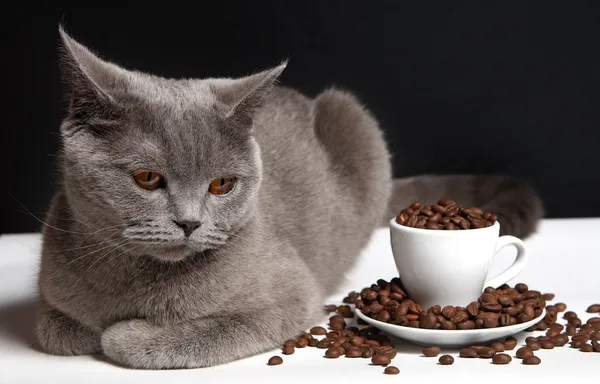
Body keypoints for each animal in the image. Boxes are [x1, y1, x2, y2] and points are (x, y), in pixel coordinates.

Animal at [37, 27, 544, 368]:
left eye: (222, 185)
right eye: (146, 178)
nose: (189, 222)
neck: (132, 280)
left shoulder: (290, 300)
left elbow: (185, 335)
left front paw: (121, 335)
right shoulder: (53, 279)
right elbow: (54, 329)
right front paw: (86, 328)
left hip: (354, 116)